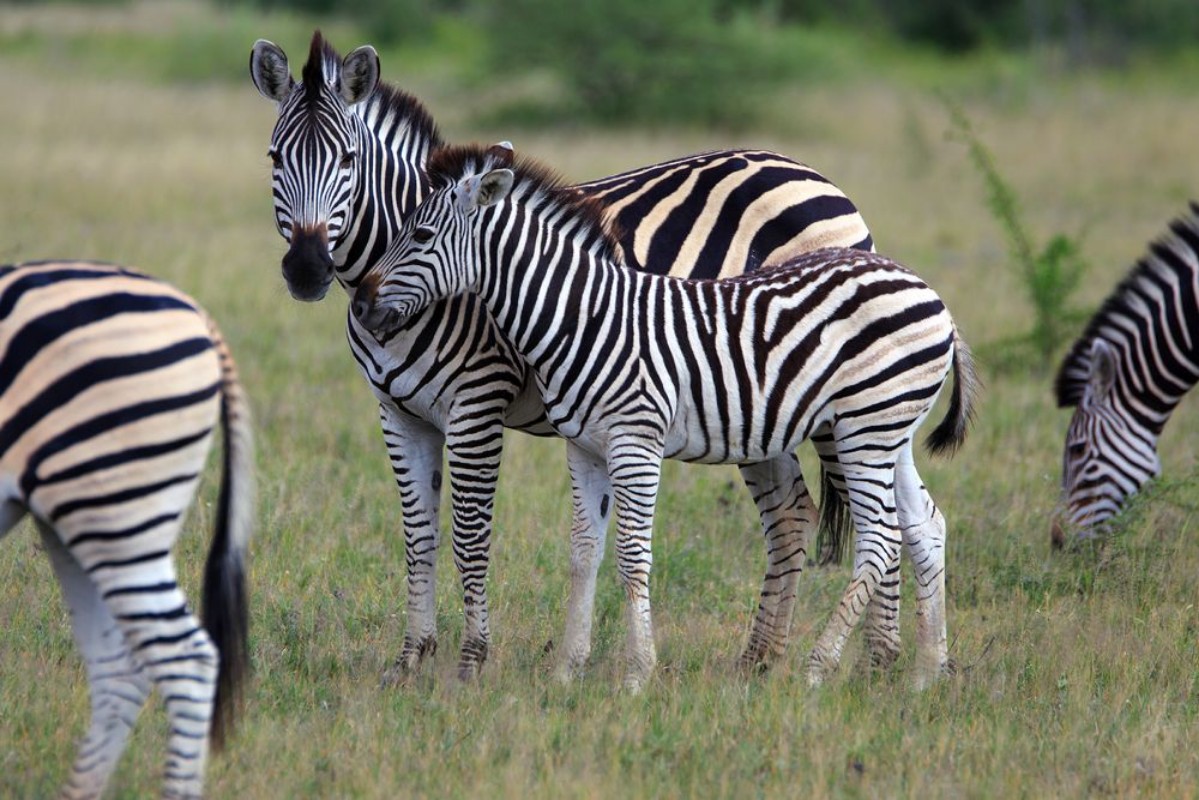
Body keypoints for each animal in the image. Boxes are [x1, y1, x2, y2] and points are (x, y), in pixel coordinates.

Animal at [250, 31, 889, 683]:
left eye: (348, 160)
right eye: (274, 159)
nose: (306, 270)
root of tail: (817, 179)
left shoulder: (478, 402)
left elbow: (471, 536)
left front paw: (471, 663)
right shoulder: (399, 413)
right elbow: (418, 536)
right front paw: (410, 661)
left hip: (834, 402)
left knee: (875, 516)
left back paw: (875, 665)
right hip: (760, 407)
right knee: (793, 515)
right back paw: (762, 661)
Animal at [351, 146, 978, 691]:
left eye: (420, 235)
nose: (360, 303)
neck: (581, 315)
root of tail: (931, 295)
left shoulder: (636, 441)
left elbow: (632, 556)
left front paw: (636, 675)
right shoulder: (584, 447)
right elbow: (582, 553)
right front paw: (566, 671)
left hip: (861, 429)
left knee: (879, 539)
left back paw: (819, 669)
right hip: (888, 429)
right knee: (923, 524)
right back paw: (926, 673)